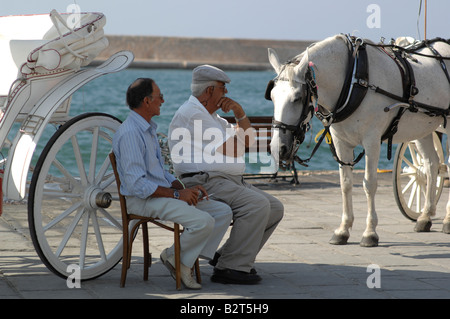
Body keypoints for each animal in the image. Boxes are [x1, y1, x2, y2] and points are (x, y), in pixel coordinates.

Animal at [268, 34, 450, 248]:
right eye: (272, 96)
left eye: (297, 98)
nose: (278, 148)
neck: (354, 80)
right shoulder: (341, 142)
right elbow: (345, 184)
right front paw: (343, 230)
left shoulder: (372, 141)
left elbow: (369, 184)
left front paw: (370, 233)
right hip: (422, 129)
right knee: (431, 165)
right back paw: (425, 217)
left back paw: (446, 220)